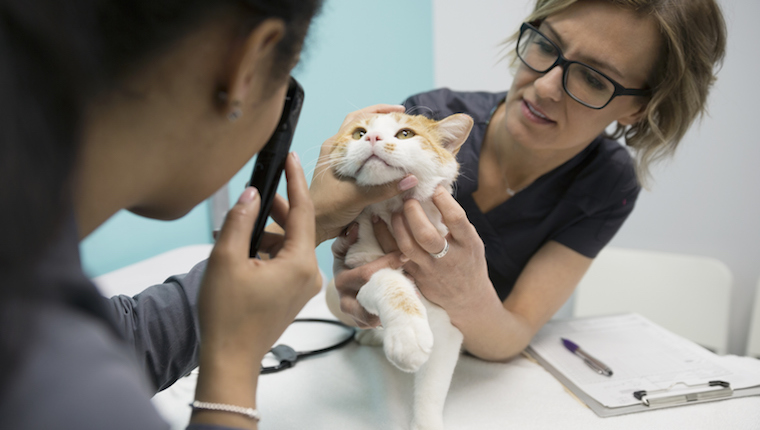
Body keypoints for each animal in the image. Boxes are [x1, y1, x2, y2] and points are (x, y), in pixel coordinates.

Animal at [330, 111, 472, 430]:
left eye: (405, 134)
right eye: (359, 133)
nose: (372, 137)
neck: (390, 210)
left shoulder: (447, 327)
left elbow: (432, 390)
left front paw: (425, 423)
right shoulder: (358, 270)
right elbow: (390, 284)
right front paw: (408, 334)